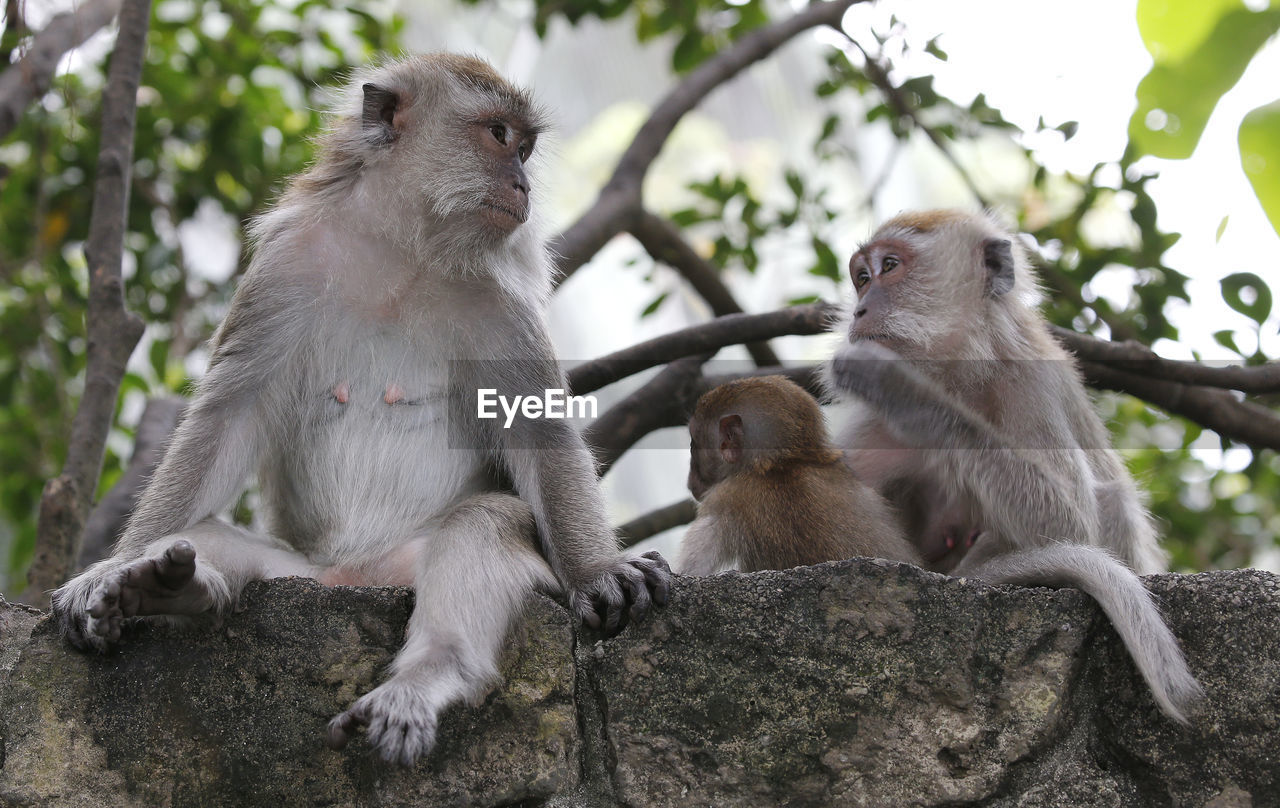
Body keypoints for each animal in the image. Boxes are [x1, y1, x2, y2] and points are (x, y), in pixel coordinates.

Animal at [49, 55, 670, 763]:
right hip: (298, 574)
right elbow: (228, 415)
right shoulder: (284, 268)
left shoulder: (500, 304)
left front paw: (596, 570)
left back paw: (425, 678)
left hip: (404, 570)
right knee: (205, 538)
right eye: (498, 135)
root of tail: (350, 579)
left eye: (525, 147)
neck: (405, 246)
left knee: (484, 524)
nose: (522, 183)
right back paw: (167, 584)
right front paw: (109, 568)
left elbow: (536, 432)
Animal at [829, 207, 1198, 722]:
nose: (860, 310)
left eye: (889, 267)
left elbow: (1068, 521)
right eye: (861, 278)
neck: (962, 370)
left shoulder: (1031, 383)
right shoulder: (874, 428)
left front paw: (906, 394)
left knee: (1111, 500)